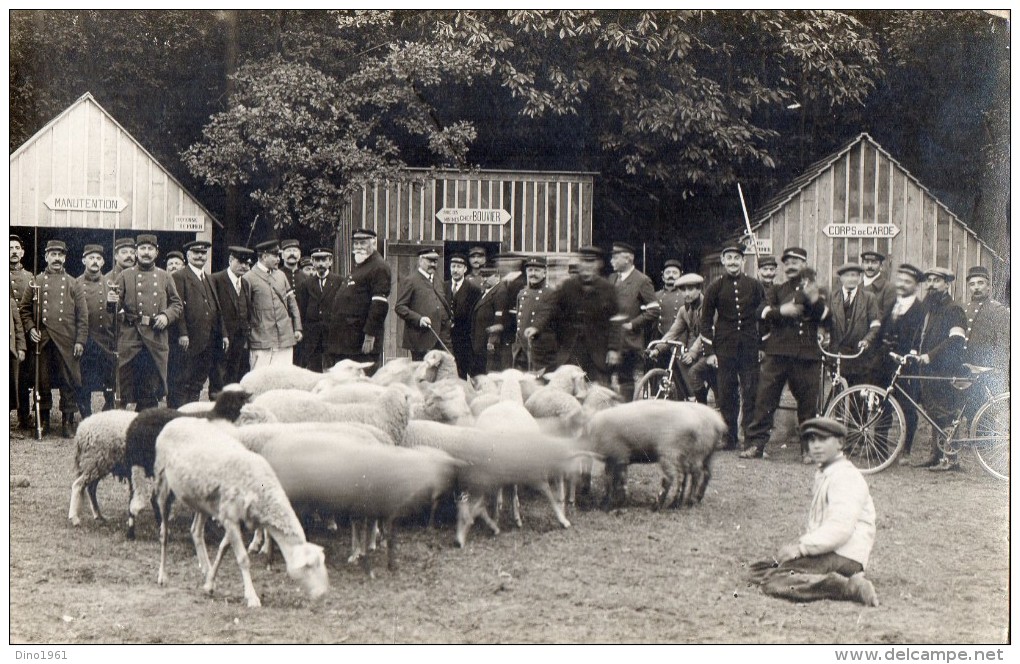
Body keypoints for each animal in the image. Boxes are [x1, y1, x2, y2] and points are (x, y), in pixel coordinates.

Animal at [123, 389, 252, 538]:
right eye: (241, 401)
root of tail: (134, 430)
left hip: (134, 466)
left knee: (132, 497)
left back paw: (131, 531)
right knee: (154, 499)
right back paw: (164, 530)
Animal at [153, 420, 326, 607]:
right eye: (309, 566)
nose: (323, 594)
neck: (262, 490)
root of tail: (174, 421)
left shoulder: (235, 518)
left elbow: (222, 548)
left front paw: (210, 584)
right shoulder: (230, 518)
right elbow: (243, 558)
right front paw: (252, 597)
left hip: (202, 501)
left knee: (196, 531)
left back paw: (206, 570)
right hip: (162, 483)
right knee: (164, 533)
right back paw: (162, 576)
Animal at [583, 399, 726, 509]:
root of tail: (718, 423)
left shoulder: (619, 455)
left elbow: (617, 479)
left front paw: (611, 503)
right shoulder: (614, 459)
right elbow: (610, 479)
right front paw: (609, 500)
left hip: (673, 452)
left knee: (676, 476)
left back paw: (663, 504)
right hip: (705, 455)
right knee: (703, 474)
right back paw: (691, 500)